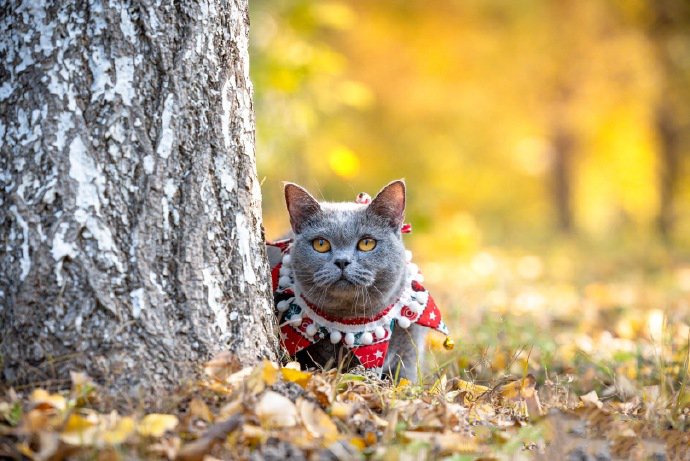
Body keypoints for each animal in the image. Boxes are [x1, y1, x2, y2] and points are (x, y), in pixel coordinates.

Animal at [264, 180, 446, 380]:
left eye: (367, 243)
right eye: (321, 244)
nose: (342, 261)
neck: (351, 326)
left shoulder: (409, 344)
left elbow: (405, 374)